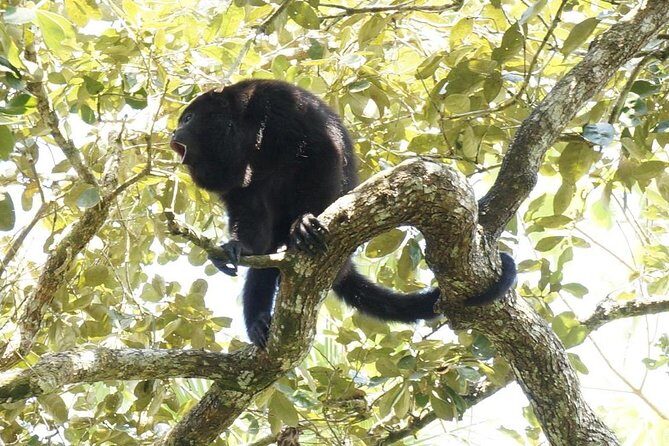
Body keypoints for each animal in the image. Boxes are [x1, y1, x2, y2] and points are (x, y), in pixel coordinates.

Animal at [170, 79, 516, 347]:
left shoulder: (281, 105)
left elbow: (322, 153)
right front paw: (235, 247)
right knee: (267, 257)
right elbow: (247, 211)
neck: (245, 130)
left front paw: (304, 223)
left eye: (188, 119)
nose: (173, 134)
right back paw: (258, 319)